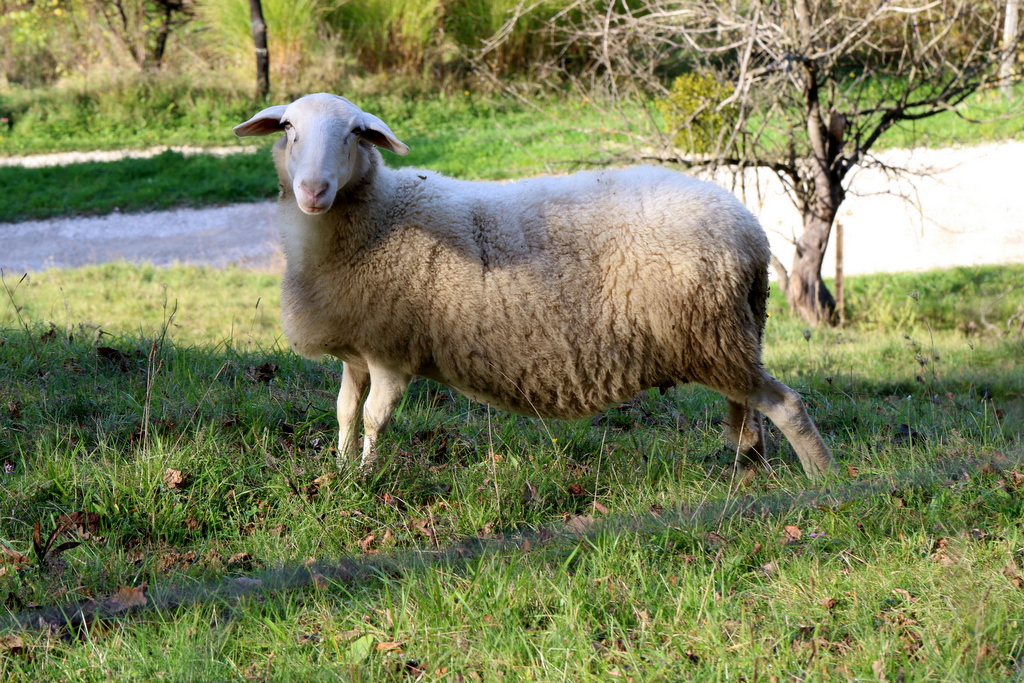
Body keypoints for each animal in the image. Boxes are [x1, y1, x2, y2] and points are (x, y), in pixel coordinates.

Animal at [235, 93, 835, 481]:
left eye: (355, 134)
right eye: (288, 129)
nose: (313, 190)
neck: (378, 216)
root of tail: (750, 231)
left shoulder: (391, 351)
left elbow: (375, 418)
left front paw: (365, 478)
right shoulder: (358, 350)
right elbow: (344, 411)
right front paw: (339, 471)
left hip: (711, 334)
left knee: (787, 404)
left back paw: (823, 479)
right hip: (727, 336)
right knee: (749, 410)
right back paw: (748, 467)